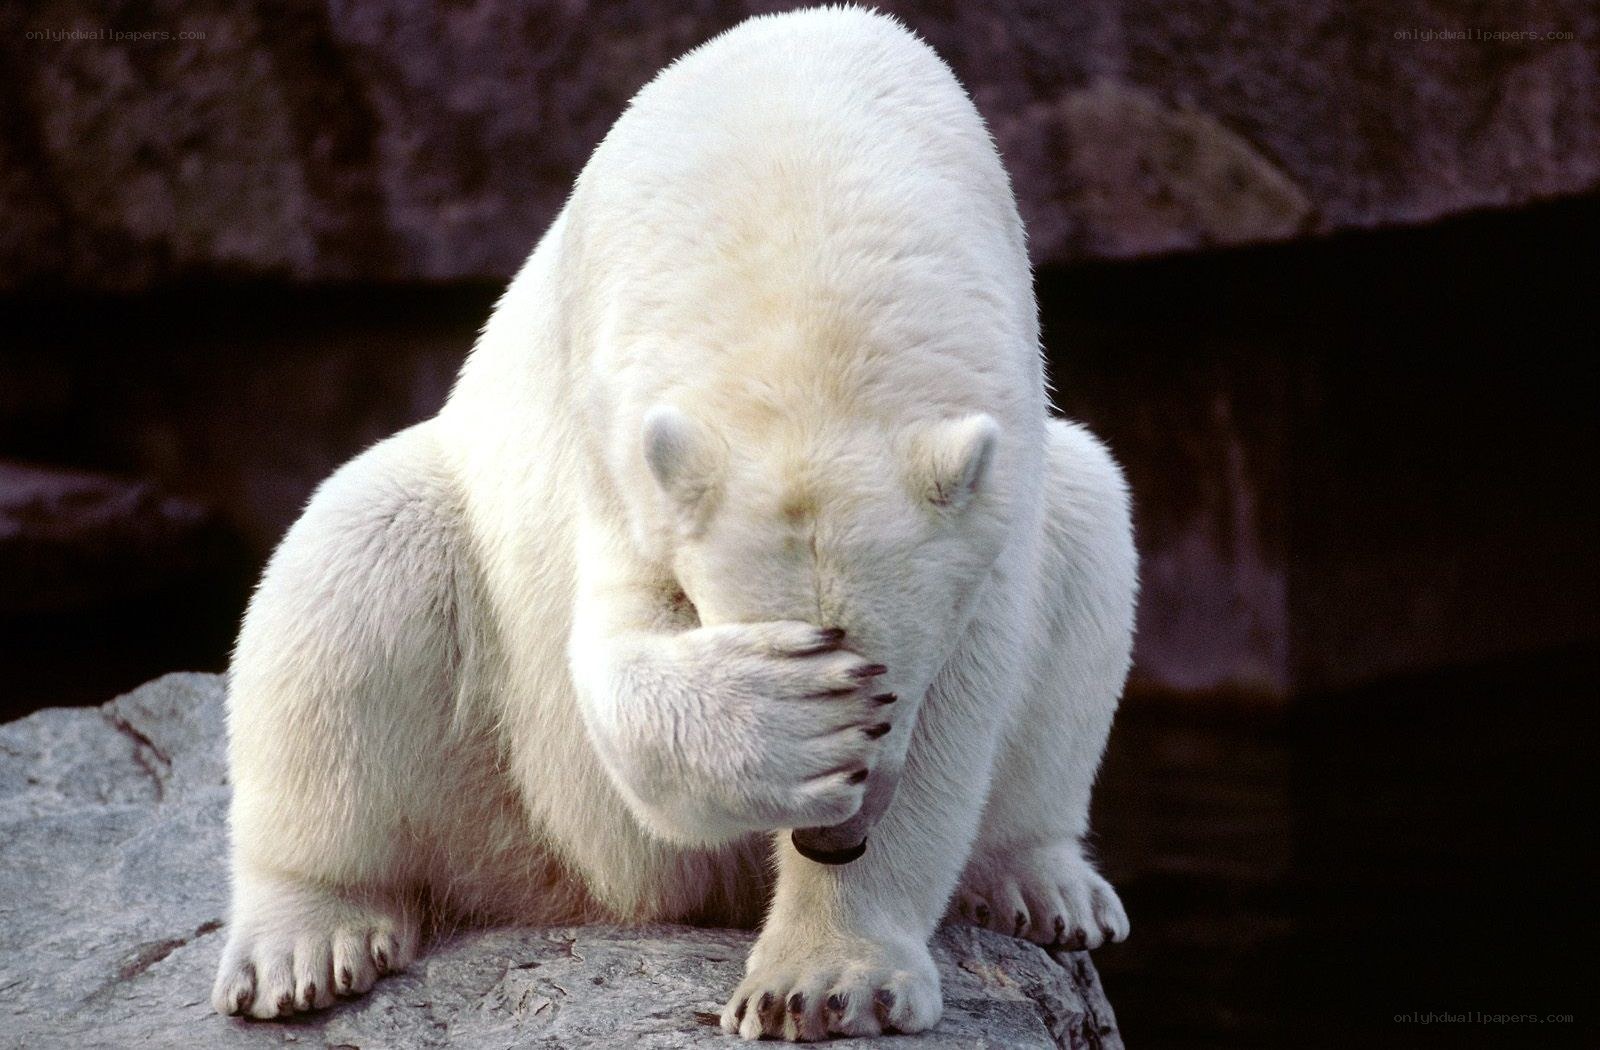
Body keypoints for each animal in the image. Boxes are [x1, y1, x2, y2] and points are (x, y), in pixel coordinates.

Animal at [210, 6, 1136, 1042]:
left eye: (891, 683)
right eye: (834, 669)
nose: (834, 840)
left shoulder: (998, 458)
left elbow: (967, 695)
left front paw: (823, 983)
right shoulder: (616, 428)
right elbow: (614, 656)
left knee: (1092, 524)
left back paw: (1045, 883)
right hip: (495, 763)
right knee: (355, 562)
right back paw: (304, 942)